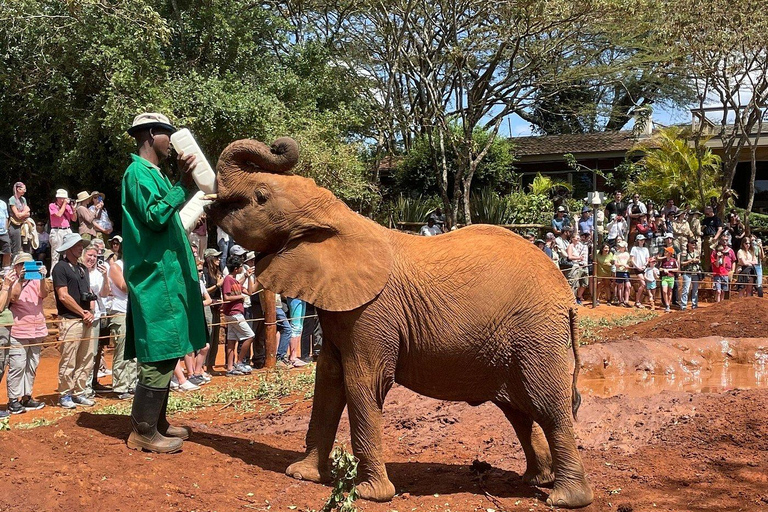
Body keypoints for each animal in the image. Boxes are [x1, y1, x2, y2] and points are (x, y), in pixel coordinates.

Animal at [206, 137, 592, 508]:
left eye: (260, 197)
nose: (277, 145)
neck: (339, 219)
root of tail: (567, 295)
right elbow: (328, 381)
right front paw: (302, 474)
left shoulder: (373, 314)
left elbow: (363, 383)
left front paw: (369, 494)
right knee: (519, 410)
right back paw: (536, 479)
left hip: (535, 332)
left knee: (547, 406)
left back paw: (565, 498)